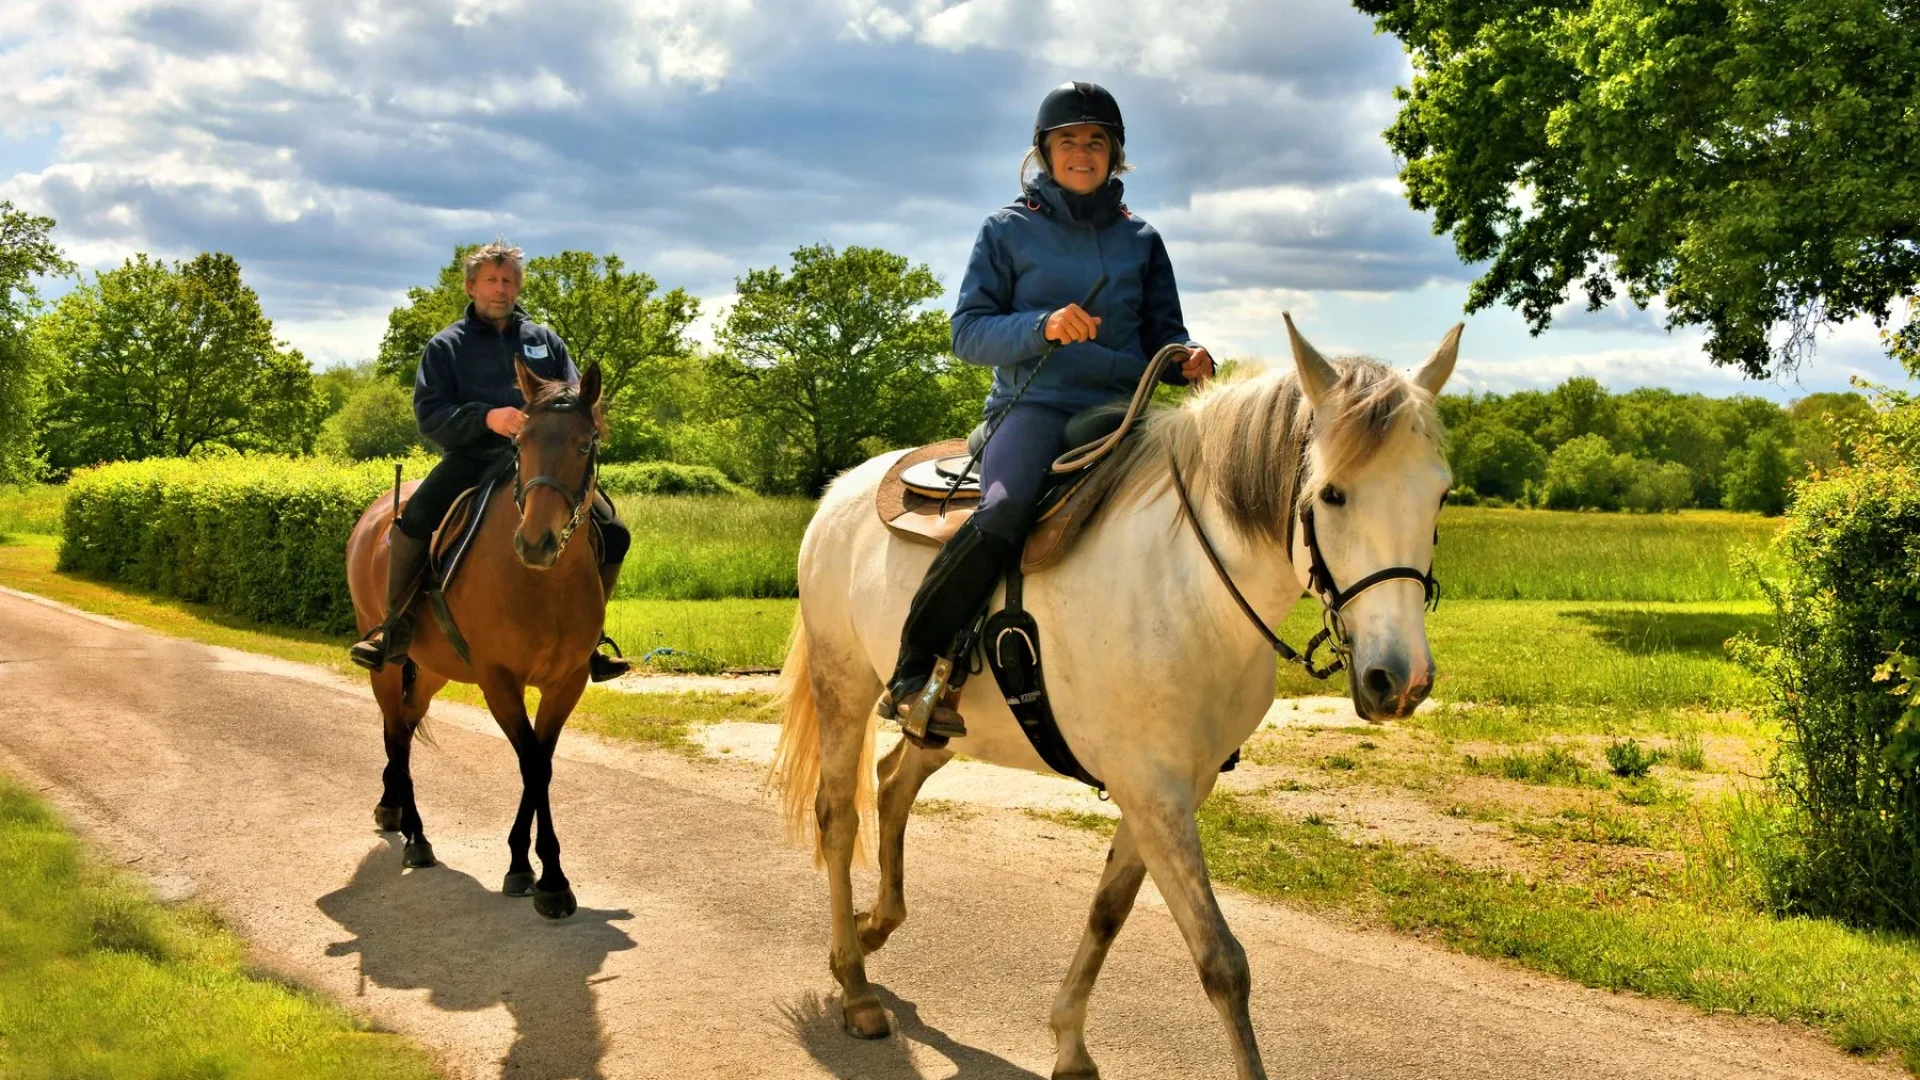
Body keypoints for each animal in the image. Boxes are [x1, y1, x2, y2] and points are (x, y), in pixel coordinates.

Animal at [349, 357, 606, 910]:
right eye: (520, 443)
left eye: (583, 444)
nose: (535, 543)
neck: (543, 583)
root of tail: (375, 513)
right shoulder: (498, 680)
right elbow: (532, 763)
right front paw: (547, 877)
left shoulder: (567, 682)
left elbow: (541, 763)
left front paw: (527, 865)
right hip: (388, 663)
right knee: (396, 733)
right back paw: (416, 836)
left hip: (431, 670)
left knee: (404, 724)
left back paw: (393, 808)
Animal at [771, 319, 1459, 1076]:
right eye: (1332, 494)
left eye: (1440, 495)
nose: (1401, 679)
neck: (1190, 586)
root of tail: (842, 489)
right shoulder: (1152, 790)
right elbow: (1222, 962)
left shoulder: (1171, 790)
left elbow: (1108, 912)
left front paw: (1070, 1043)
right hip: (843, 684)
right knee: (839, 815)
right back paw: (855, 985)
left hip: (950, 726)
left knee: (894, 783)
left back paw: (875, 927)